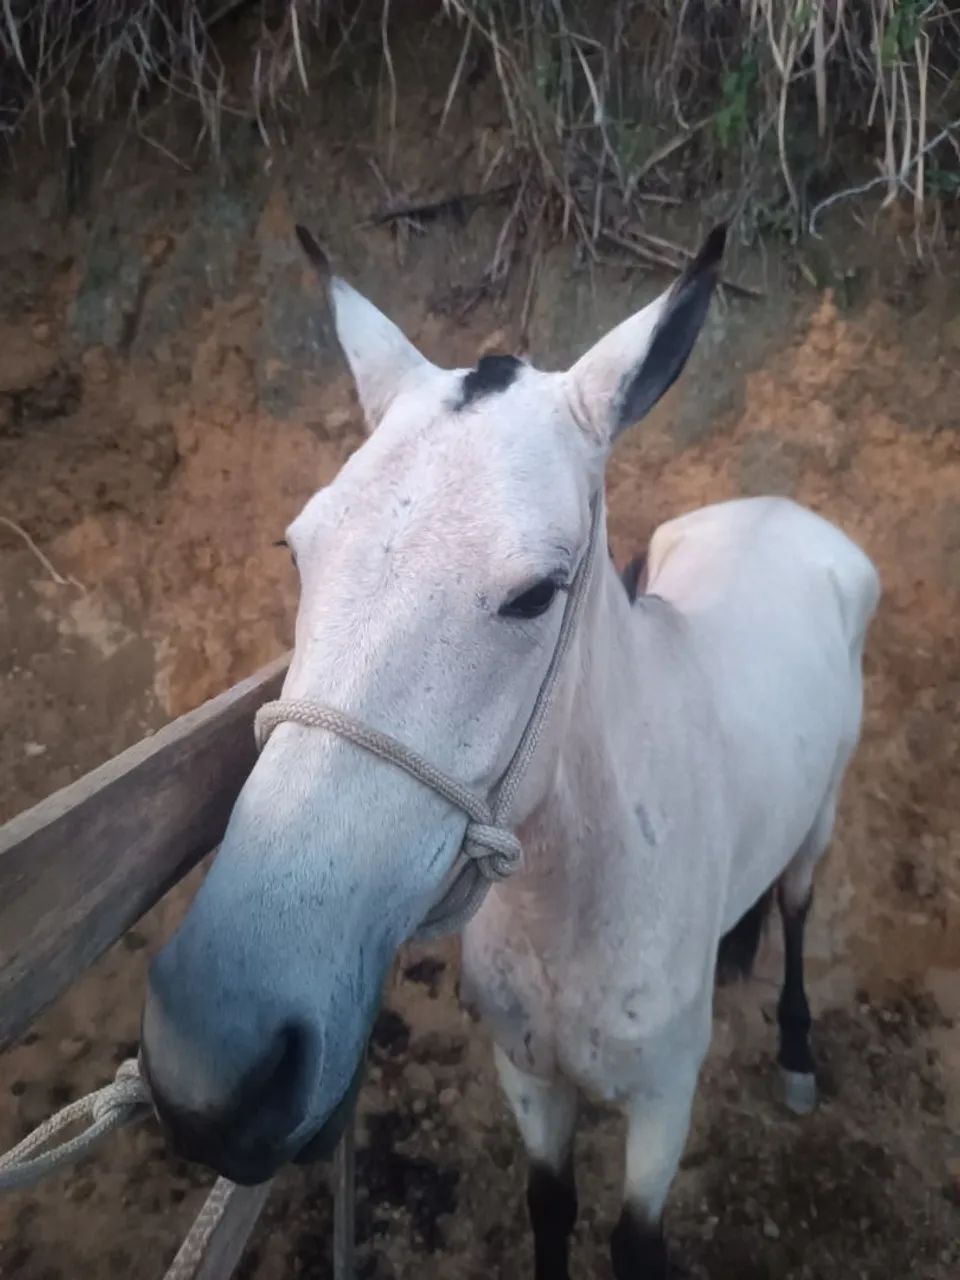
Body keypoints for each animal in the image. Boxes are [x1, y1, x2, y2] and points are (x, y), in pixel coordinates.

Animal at [141, 223, 880, 1278]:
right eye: (297, 549)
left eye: (536, 594)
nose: (216, 1067)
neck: (573, 908)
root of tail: (791, 513)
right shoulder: (528, 1079)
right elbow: (549, 1208)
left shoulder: (664, 1107)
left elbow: (633, 1244)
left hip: (823, 819)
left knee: (799, 906)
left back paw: (796, 1050)